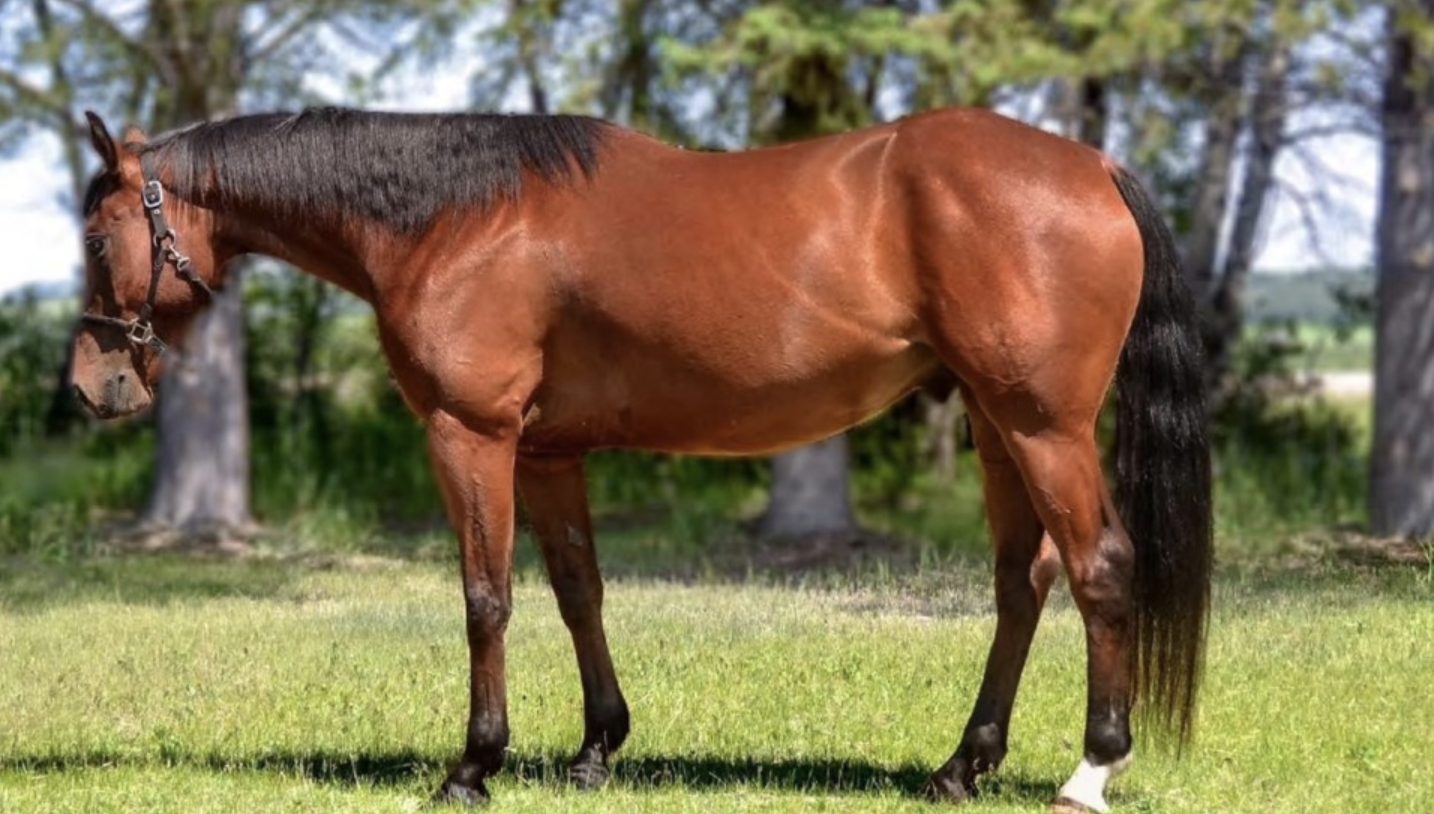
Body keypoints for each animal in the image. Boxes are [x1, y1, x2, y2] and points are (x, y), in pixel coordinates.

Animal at [69, 105, 1211, 812]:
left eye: (94, 234)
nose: (93, 386)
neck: (454, 220)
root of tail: (1093, 166)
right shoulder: (547, 451)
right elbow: (578, 590)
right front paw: (594, 750)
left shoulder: (470, 434)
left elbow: (485, 597)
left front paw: (473, 765)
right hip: (994, 424)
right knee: (1023, 582)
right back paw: (960, 767)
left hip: (1042, 425)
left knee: (1100, 568)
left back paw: (1089, 772)